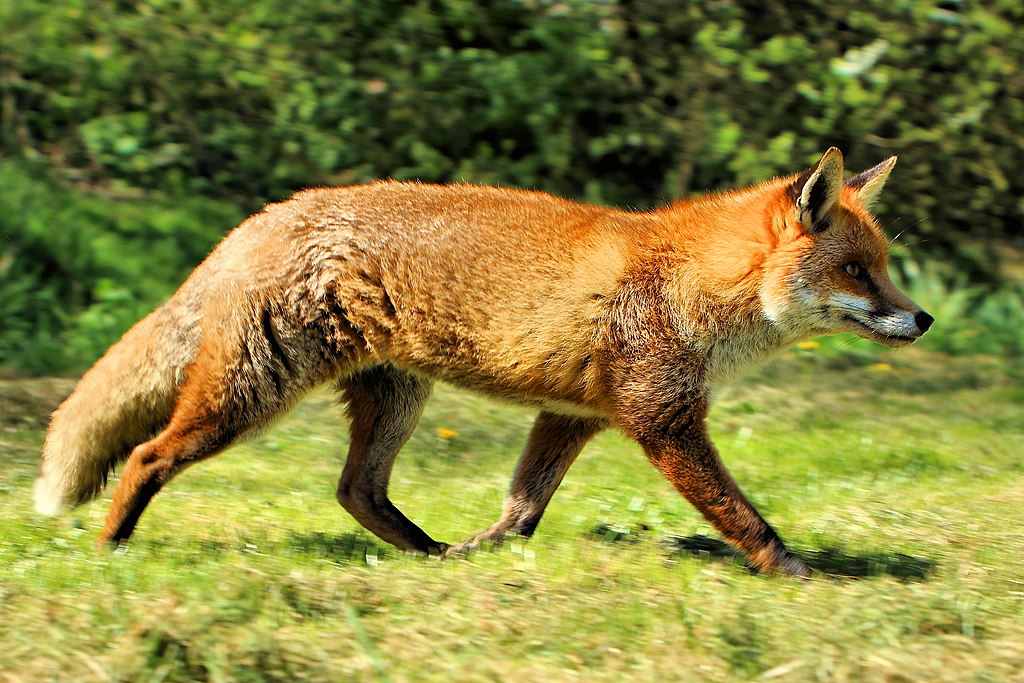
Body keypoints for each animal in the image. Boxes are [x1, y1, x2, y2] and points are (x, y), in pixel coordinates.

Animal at [34, 148, 929, 577]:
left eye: (885, 267)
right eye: (858, 271)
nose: (920, 318)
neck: (689, 280)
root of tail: (264, 216)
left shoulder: (573, 416)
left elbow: (522, 508)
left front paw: (485, 555)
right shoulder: (662, 417)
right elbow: (744, 515)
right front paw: (795, 570)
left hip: (396, 399)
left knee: (356, 490)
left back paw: (428, 555)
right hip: (255, 392)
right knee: (147, 455)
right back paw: (111, 549)